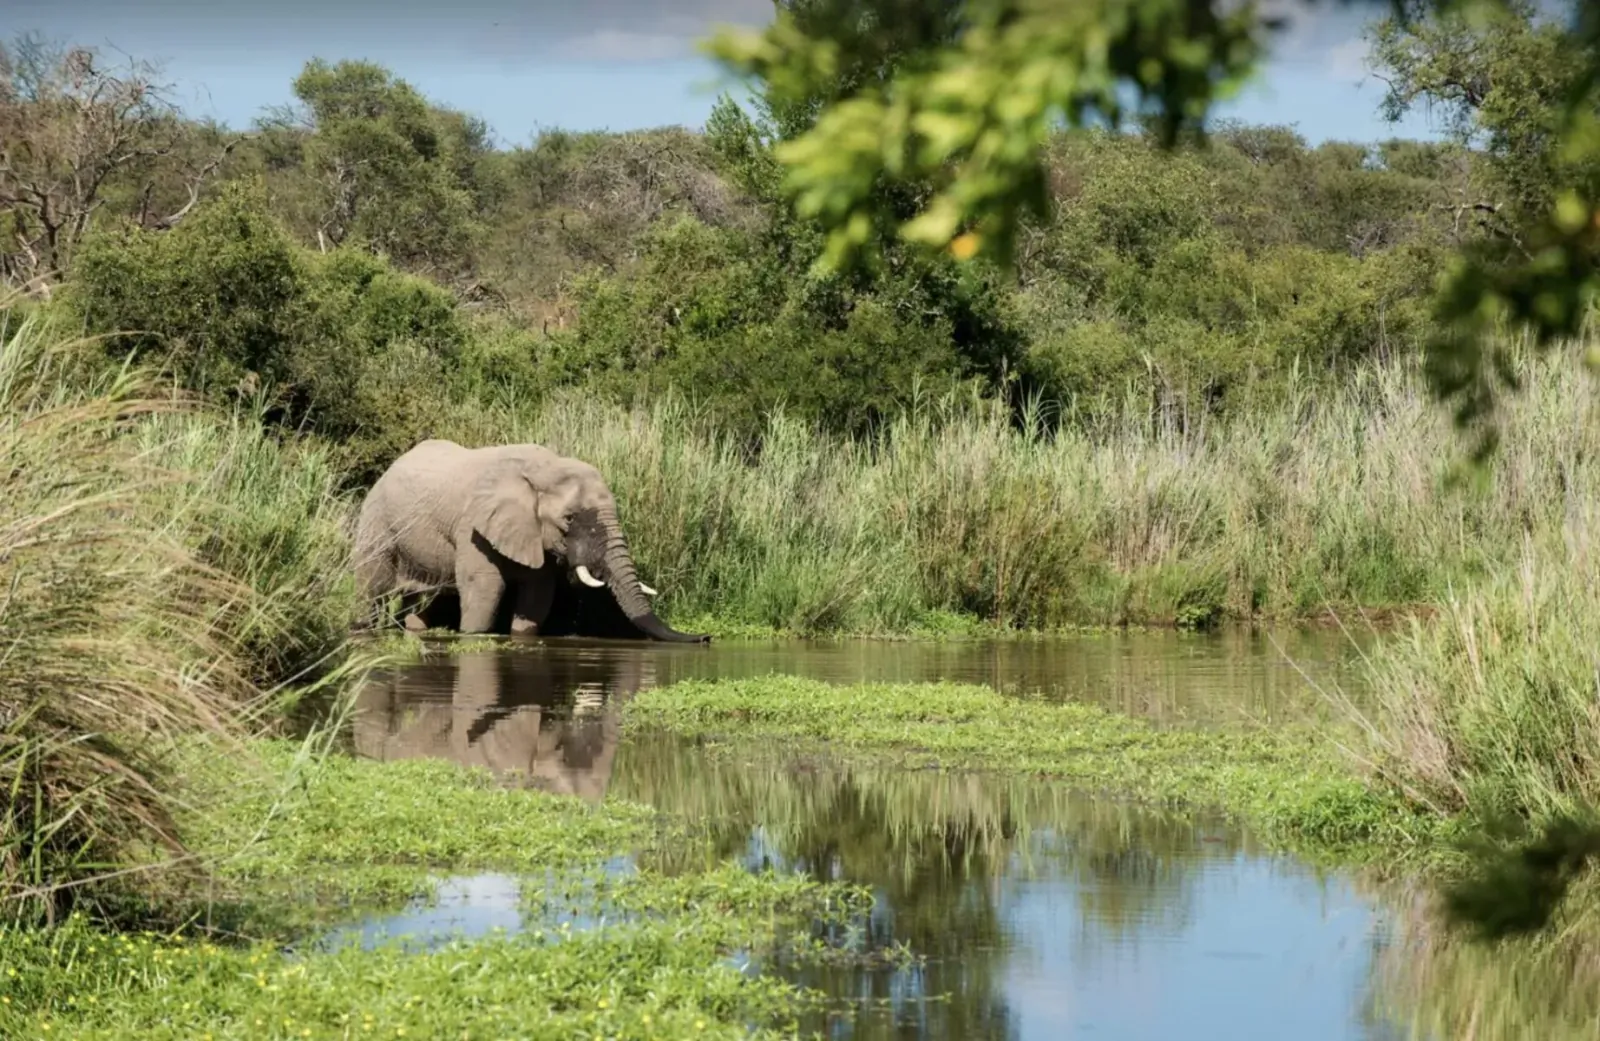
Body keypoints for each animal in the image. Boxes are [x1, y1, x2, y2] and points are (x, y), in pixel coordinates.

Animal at [352, 439, 709, 643]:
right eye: (569, 520)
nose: (705, 637)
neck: (545, 469)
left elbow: (539, 595)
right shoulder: (472, 527)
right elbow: (486, 587)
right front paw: (474, 636)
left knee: (420, 602)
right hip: (376, 523)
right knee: (373, 590)